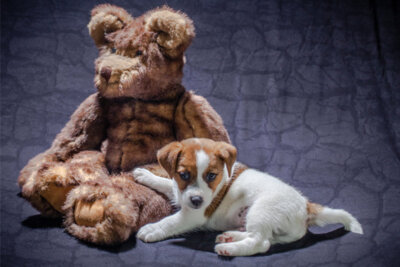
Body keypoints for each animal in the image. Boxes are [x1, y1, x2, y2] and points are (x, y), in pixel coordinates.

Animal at [134, 138, 362, 258]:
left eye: (211, 176)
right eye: (183, 175)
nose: (197, 201)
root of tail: (306, 206)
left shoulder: (194, 215)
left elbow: (171, 222)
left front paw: (152, 229)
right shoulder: (181, 192)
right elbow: (167, 184)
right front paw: (145, 175)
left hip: (261, 211)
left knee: (261, 243)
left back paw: (228, 248)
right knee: (262, 237)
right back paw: (230, 237)